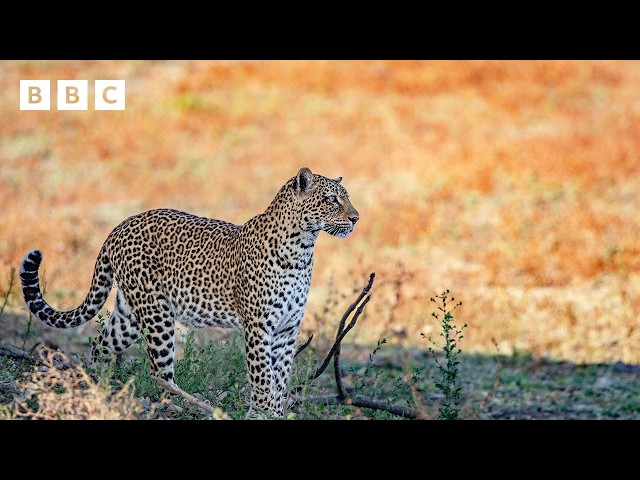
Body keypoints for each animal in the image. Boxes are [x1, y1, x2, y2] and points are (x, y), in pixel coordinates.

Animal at [19, 167, 359, 417]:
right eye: (331, 199)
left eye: (346, 198)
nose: (356, 218)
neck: (302, 249)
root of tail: (120, 226)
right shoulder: (259, 326)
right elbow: (263, 375)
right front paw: (263, 412)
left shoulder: (288, 328)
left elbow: (280, 375)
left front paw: (276, 412)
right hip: (157, 315)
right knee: (158, 371)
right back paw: (184, 403)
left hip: (129, 315)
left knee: (100, 344)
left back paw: (98, 386)